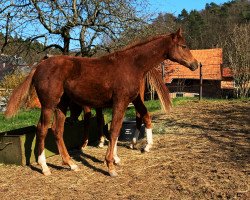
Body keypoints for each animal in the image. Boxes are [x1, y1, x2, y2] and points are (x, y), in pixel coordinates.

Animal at [4, 28, 198, 177]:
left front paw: (119, 157)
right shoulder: (120, 102)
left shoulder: (127, 101)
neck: (132, 65)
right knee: (42, 129)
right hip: (49, 105)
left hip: (61, 105)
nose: (195, 64)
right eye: (184, 46)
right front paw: (110, 165)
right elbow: (114, 130)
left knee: (57, 130)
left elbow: (126, 124)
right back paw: (44, 167)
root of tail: (38, 66)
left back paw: (71, 164)